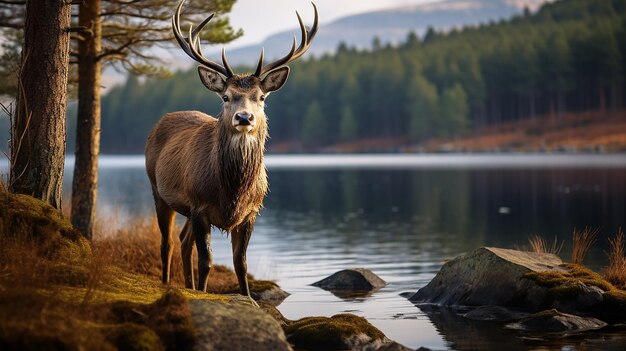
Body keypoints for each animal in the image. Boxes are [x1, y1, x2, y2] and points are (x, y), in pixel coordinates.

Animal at [146, 0, 316, 304]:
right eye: (226, 97)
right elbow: (207, 261)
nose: (244, 117)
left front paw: (249, 299)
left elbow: (241, 263)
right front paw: (202, 293)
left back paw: (187, 286)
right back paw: (167, 284)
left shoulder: (251, 211)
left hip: (186, 208)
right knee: (167, 242)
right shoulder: (200, 205)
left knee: (183, 240)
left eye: (261, 97)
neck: (232, 191)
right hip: (159, 190)